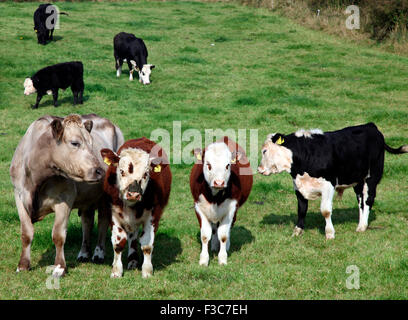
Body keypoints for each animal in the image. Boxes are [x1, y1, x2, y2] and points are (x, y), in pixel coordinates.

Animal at [9, 114, 124, 276]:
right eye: (74, 143)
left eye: (91, 143)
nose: (100, 171)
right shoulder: (19, 196)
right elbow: (26, 233)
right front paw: (23, 265)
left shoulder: (64, 199)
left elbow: (58, 235)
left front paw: (59, 267)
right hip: (87, 196)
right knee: (87, 221)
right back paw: (84, 253)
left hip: (107, 195)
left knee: (103, 221)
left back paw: (98, 253)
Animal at [102, 138, 172, 278]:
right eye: (122, 171)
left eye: (146, 174)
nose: (133, 193)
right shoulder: (112, 213)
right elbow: (118, 243)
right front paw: (116, 271)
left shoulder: (153, 215)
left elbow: (147, 244)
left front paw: (147, 270)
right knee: (132, 237)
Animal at [190, 136, 253, 266]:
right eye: (208, 165)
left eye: (228, 165)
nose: (219, 183)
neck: (215, 197)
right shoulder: (199, 207)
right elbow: (205, 235)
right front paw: (204, 259)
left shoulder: (231, 208)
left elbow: (223, 235)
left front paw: (223, 258)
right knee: (214, 229)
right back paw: (214, 245)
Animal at [258, 124, 408, 239]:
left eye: (264, 151)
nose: (259, 169)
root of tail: (371, 126)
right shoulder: (298, 187)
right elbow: (301, 209)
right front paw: (297, 231)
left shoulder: (328, 186)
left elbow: (325, 211)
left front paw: (329, 233)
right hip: (358, 180)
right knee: (360, 201)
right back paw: (360, 224)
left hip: (372, 177)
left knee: (368, 200)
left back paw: (362, 226)